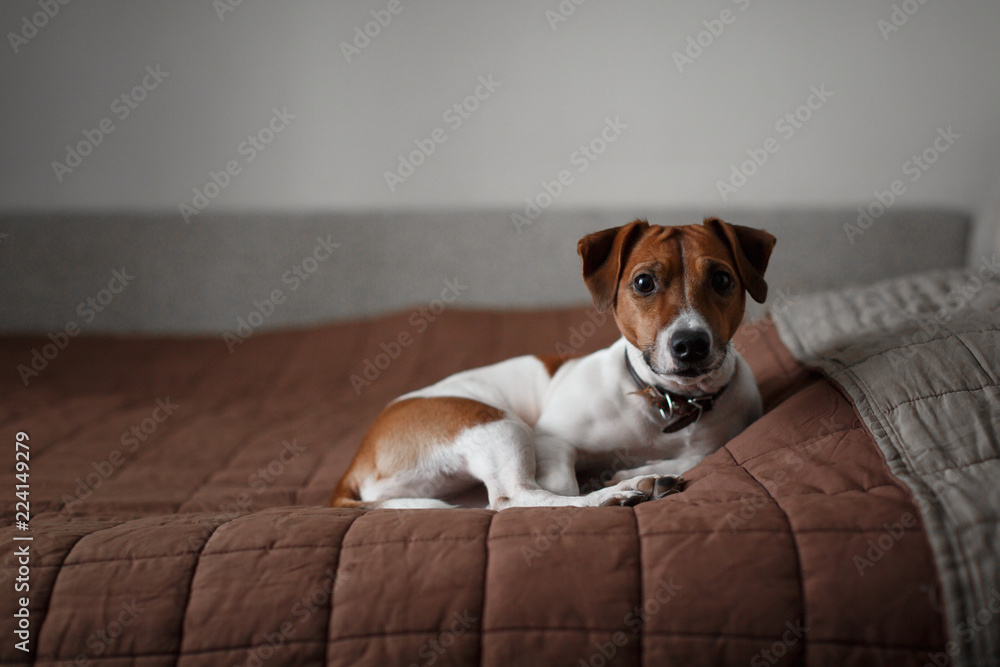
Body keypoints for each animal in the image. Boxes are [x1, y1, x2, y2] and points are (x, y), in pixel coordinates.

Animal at [332, 219, 776, 512]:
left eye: (721, 280)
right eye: (644, 283)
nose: (690, 344)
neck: (665, 403)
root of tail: (354, 464)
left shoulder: (725, 430)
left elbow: (703, 453)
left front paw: (636, 471)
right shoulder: (551, 438)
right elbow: (563, 486)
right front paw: (611, 482)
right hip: (498, 423)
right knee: (514, 498)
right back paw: (614, 493)